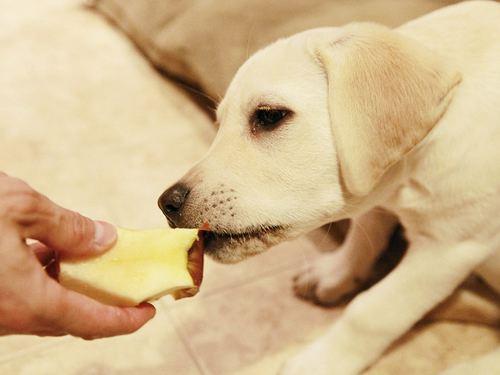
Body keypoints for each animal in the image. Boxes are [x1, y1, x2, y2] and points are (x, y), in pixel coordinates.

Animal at [158, 1, 498, 374]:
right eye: (218, 124)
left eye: (269, 115)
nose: (167, 204)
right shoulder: (375, 195)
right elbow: (363, 235)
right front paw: (334, 274)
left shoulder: (447, 249)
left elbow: (371, 313)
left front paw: (318, 362)